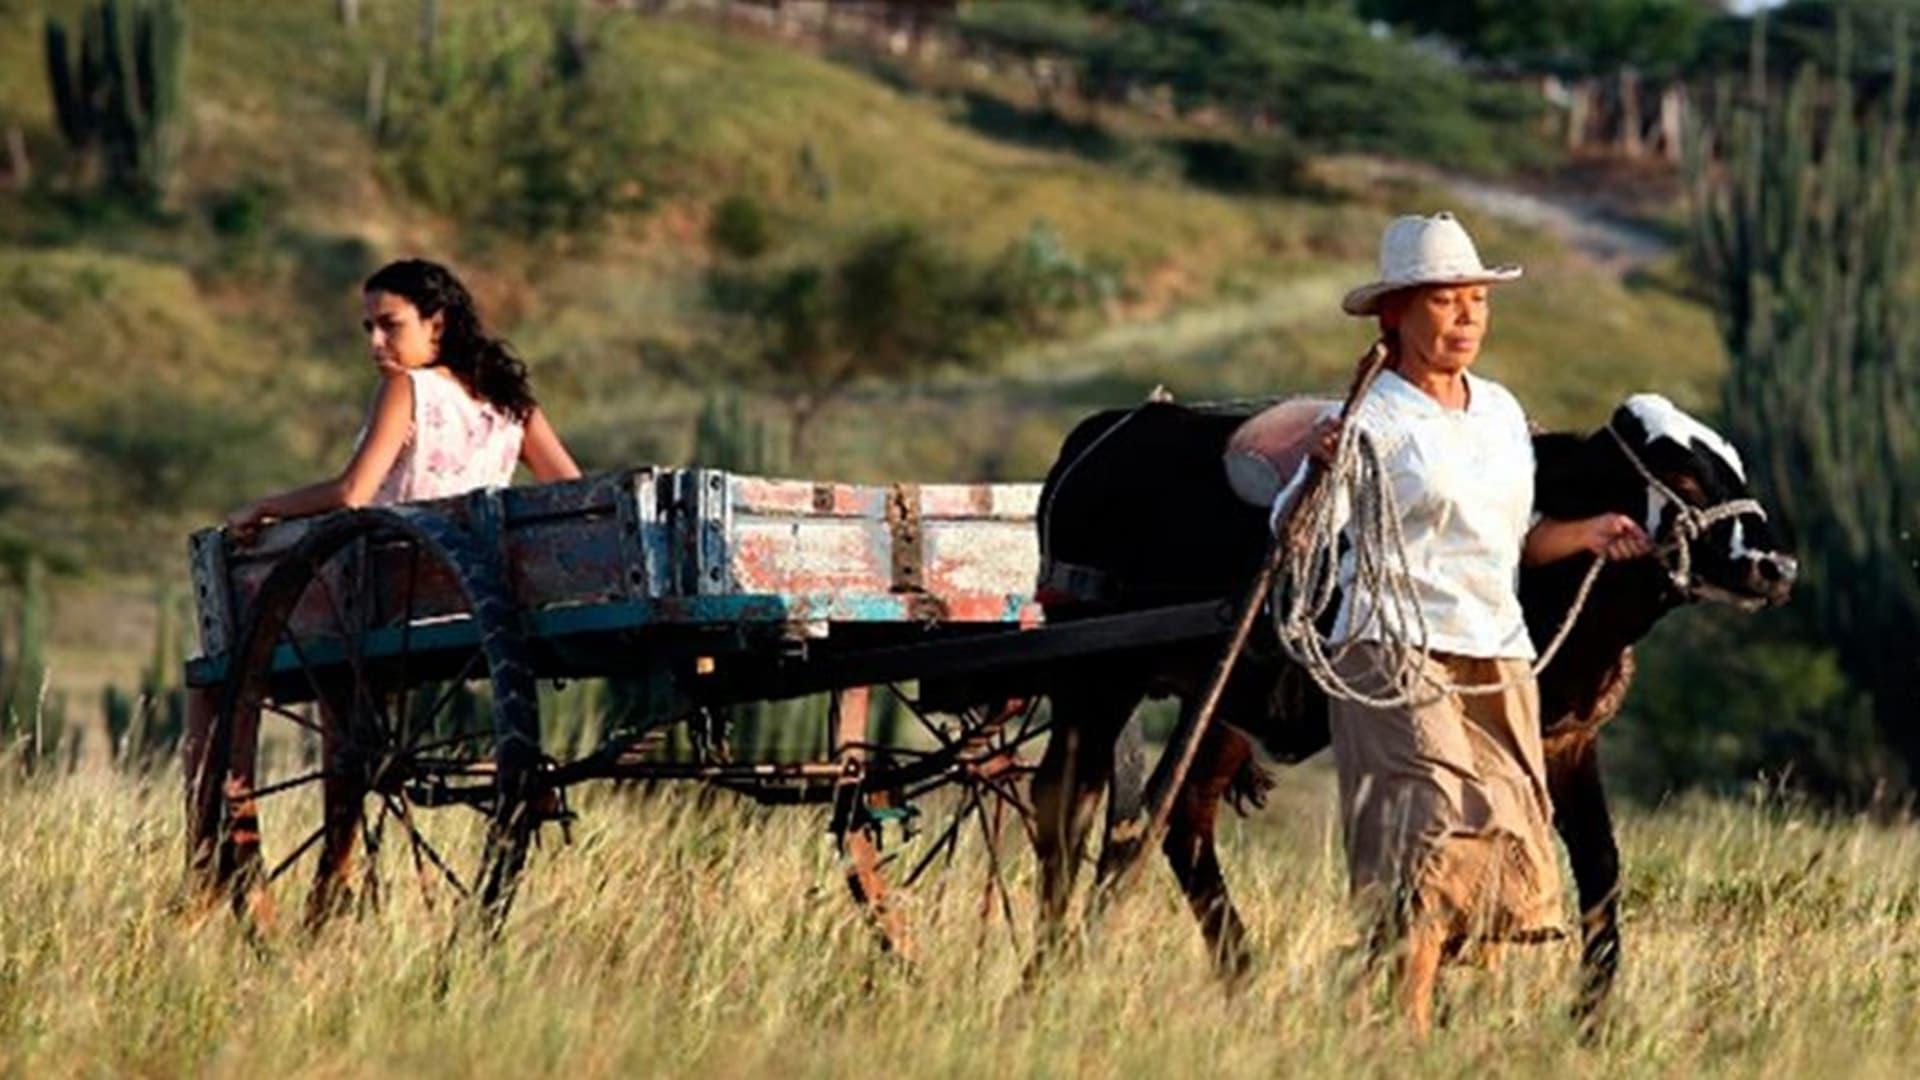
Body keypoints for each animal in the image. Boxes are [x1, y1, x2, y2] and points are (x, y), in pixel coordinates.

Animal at [1036, 390, 1797, 1014]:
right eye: (1685, 476)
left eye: (1733, 467)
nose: (1776, 567)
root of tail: (1108, 430)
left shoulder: (1566, 741)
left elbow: (1600, 867)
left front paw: (1591, 1017)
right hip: (1096, 683)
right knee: (1066, 809)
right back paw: (1050, 966)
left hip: (1220, 704)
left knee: (1177, 818)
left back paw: (1240, 975)